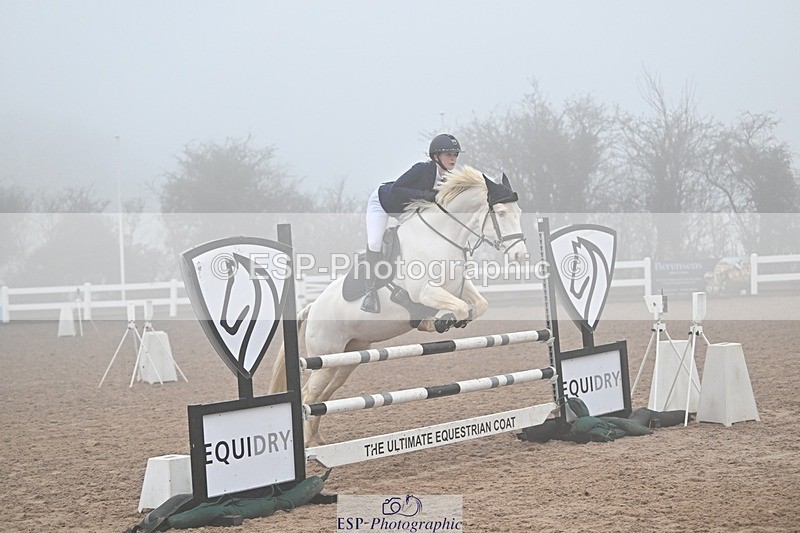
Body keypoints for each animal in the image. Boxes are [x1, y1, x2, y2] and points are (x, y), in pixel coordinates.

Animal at [270, 165, 529, 446]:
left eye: (519, 212)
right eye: (501, 213)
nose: (520, 256)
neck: (442, 236)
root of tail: (312, 307)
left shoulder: (458, 286)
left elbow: (479, 305)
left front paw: (445, 320)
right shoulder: (424, 290)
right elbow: (458, 308)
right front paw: (440, 322)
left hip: (346, 360)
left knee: (322, 396)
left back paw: (317, 440)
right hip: (326, 357)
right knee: (309, 395)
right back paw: (310, 445)